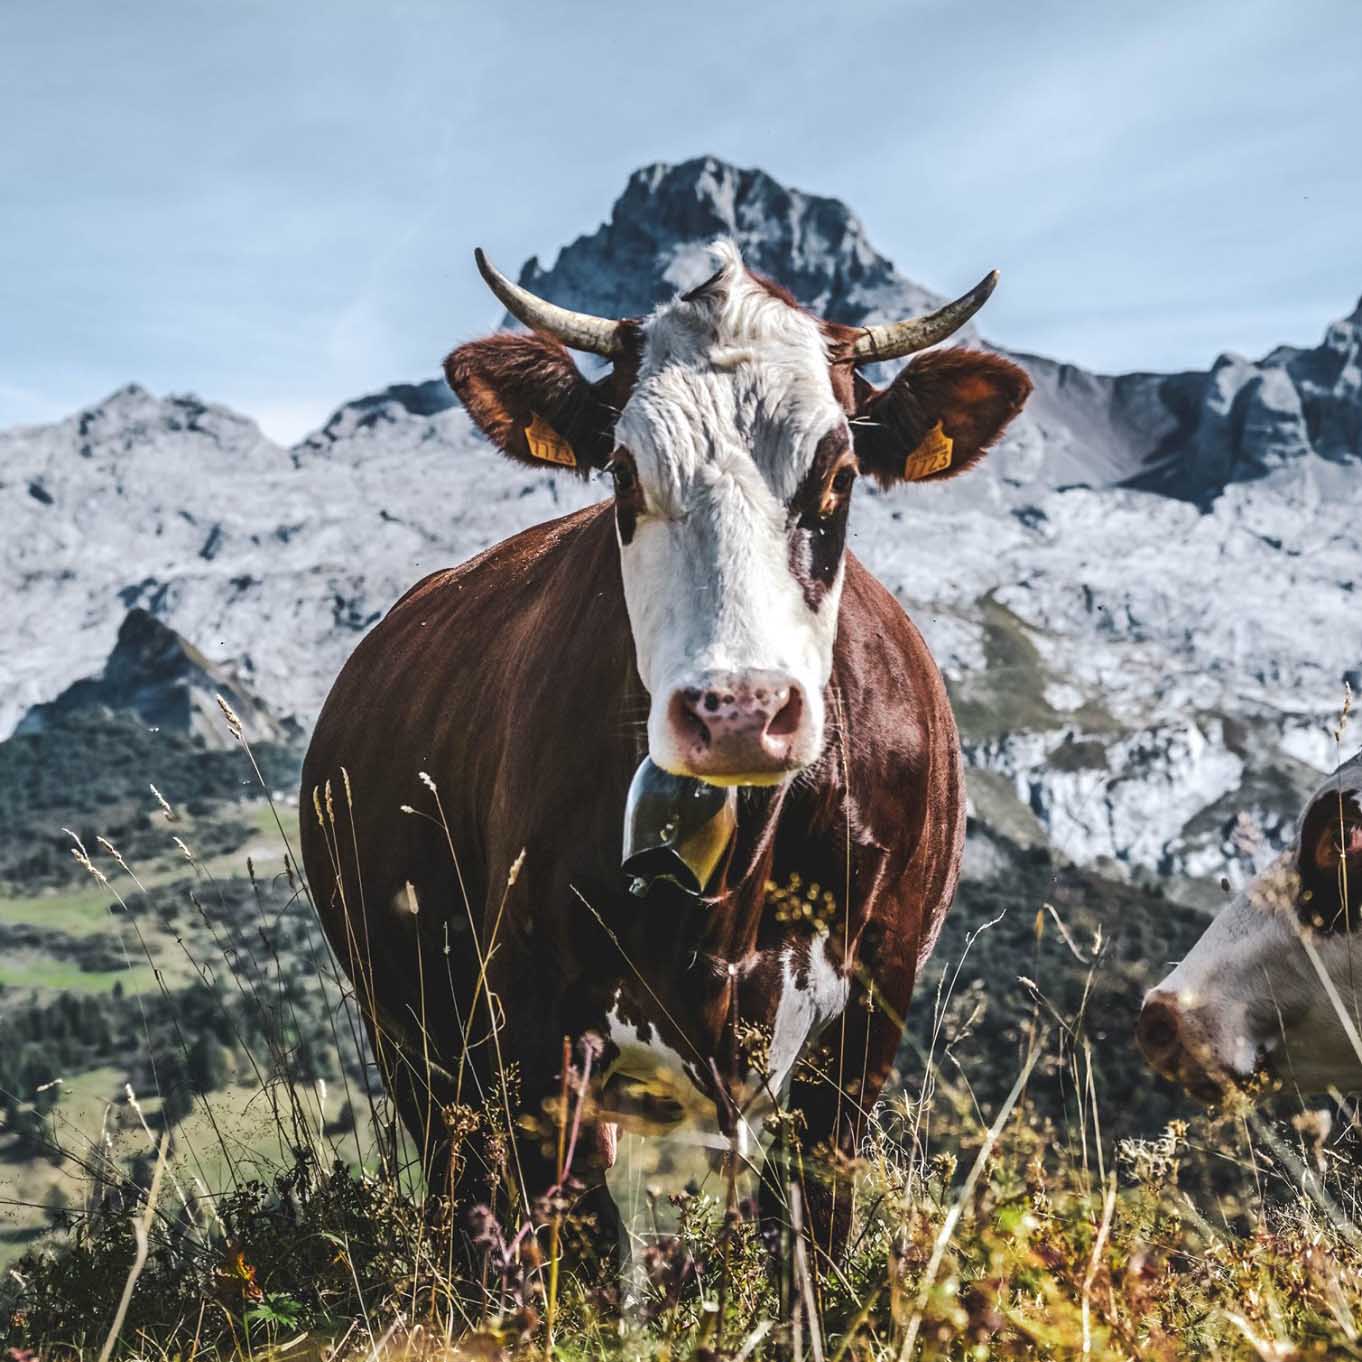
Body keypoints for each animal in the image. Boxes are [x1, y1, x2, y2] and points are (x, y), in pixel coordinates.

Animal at [301, 242, 1029, 1253]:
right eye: (621, 471)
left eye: (839, 475)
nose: (738, 711)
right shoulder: (537, 1015)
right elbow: (584, 1235)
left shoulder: (869, 1014)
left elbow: (807, 1223)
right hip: (409, 1028)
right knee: (463, 1188)